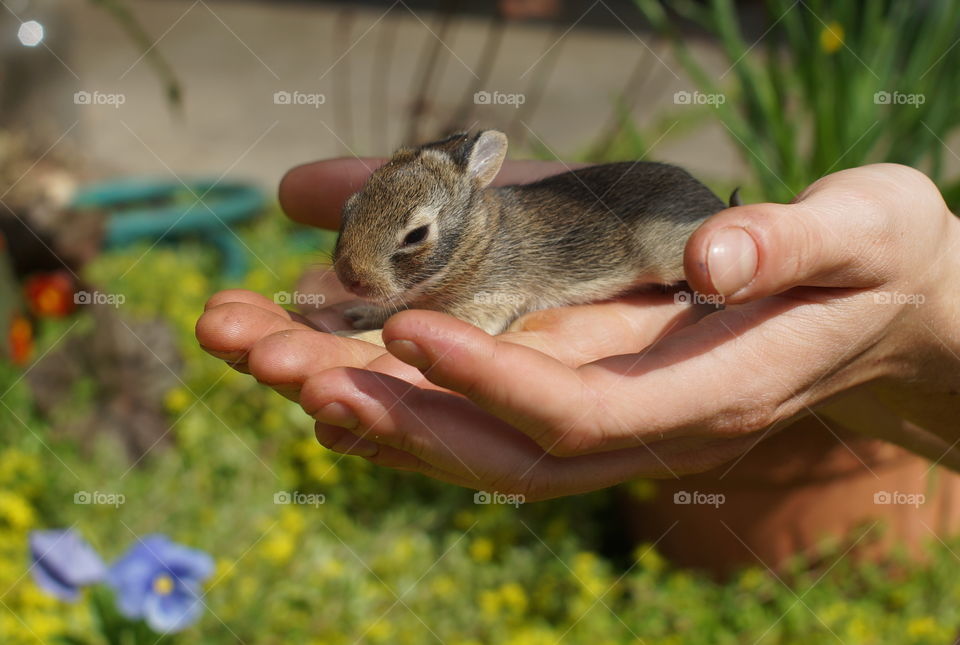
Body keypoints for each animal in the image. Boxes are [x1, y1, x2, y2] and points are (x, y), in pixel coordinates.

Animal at [334, 129, 732, 340]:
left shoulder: (486, 302)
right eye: (348, 207)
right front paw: (361, 316)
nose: (351, 279)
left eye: (416, 235)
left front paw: (352, 334)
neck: (477, 247)